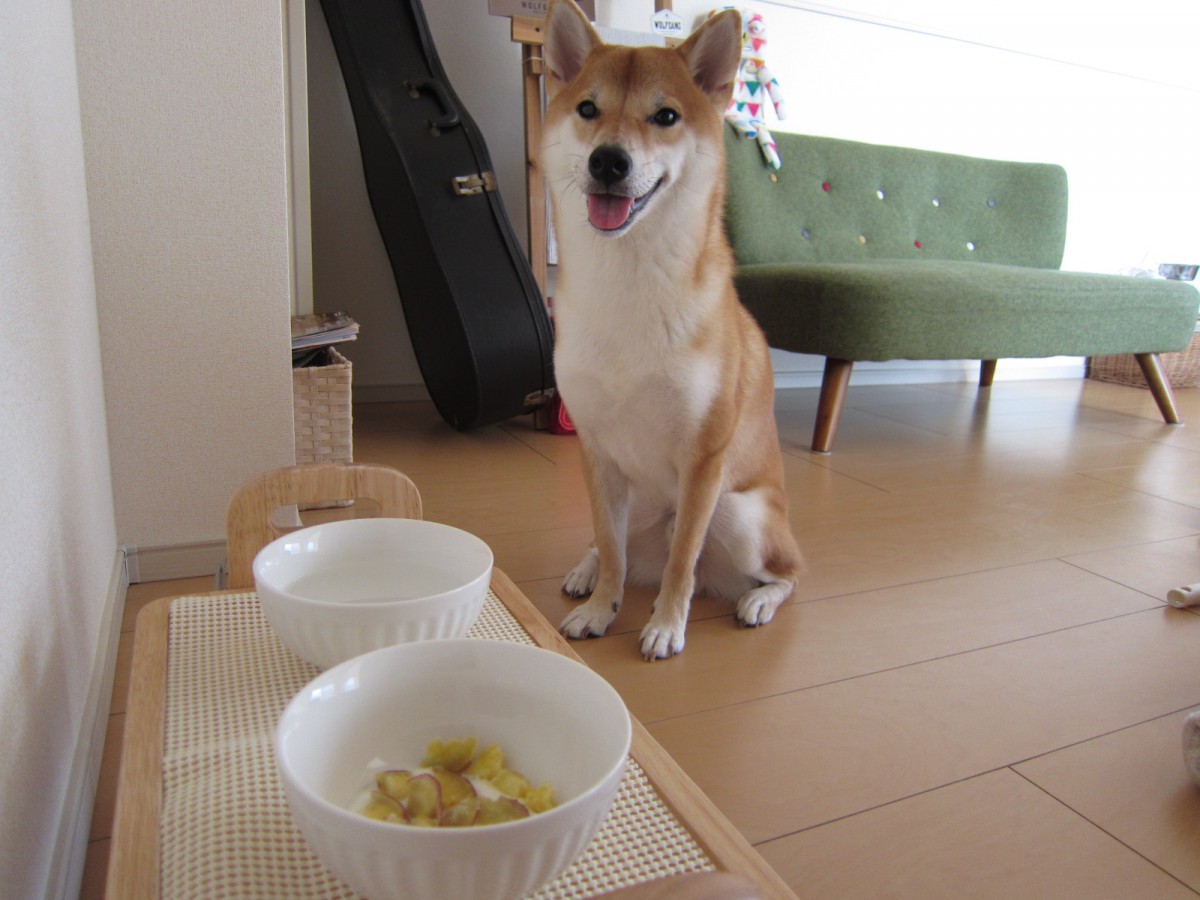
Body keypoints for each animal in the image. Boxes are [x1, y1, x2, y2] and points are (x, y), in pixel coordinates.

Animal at [540, 0, 801, 662]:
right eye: (588, 109)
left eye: (665, 117)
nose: (609, 159)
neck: (627, 288)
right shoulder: (595, 449)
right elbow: (611, 549)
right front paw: (601, 608)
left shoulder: (703, 460)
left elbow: (684, 559)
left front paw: (664, 627)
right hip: (639, 504)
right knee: (615, 547)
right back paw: (584, 571)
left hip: (738, 514)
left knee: (787, 572)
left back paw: (757, 601)